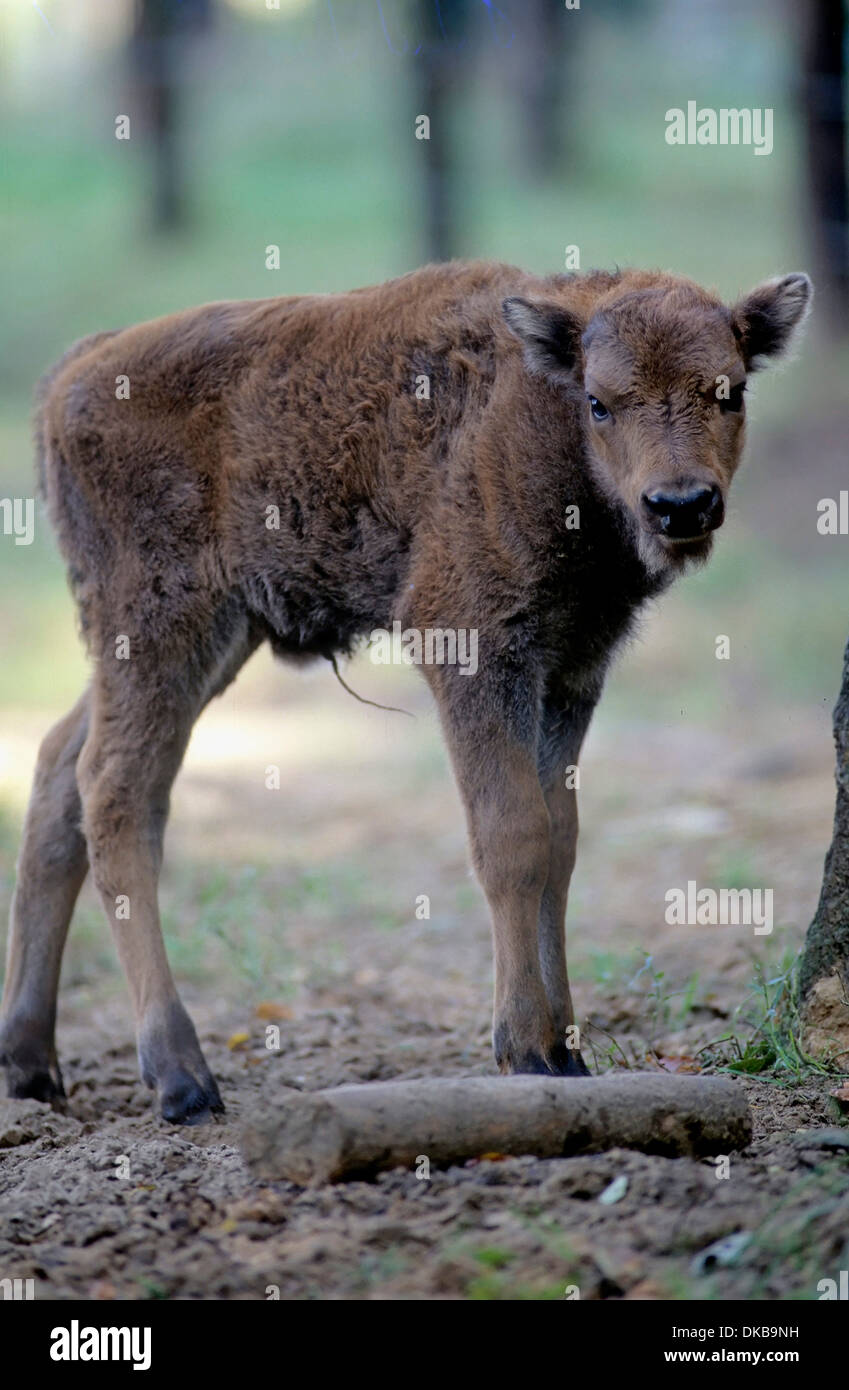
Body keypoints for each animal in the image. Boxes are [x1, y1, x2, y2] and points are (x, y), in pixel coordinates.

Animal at [0, 261, 811, 1123]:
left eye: (730, 390)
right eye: (599, 401)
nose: (680, 505)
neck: (538, 410)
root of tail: (76, 372)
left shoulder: (568, 673)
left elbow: (560, 840)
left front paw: (568, 1053)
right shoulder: (473, 649)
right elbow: (512, 836)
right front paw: (527, 1051)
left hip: (209, 640)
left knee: (59, 765)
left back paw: (30, 1061)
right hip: (163, 626)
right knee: (116, 791)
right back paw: (181, 1076)